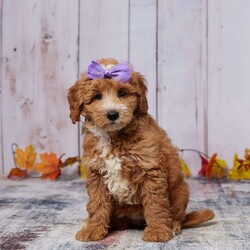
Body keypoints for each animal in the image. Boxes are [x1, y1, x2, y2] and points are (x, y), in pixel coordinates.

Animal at [67, 58, 214, 242]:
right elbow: (97, 203)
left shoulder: (150, 169)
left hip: (181, 192)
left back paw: (173, 225)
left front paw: (157, 231)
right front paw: (93, 229)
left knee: (177, 215)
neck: (114, 136)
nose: (113, 114)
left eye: (122, 93)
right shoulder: (96, 172)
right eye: (97, 96)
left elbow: (155, 202)